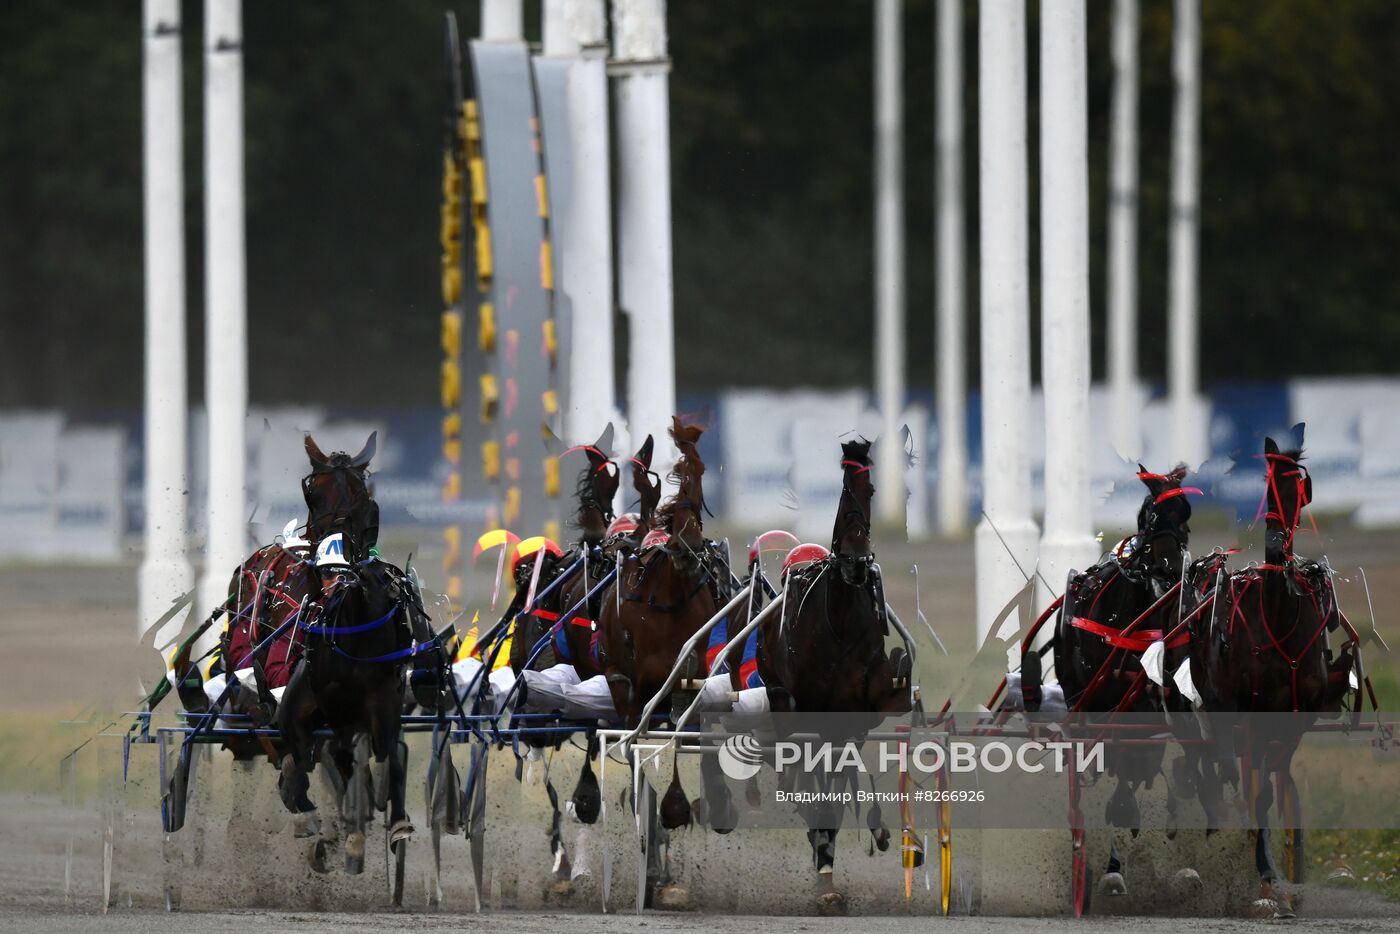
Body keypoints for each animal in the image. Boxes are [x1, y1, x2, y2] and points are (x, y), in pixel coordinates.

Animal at [1187, 431, 1360, 918]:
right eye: (1266, 485)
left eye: (1298, 488)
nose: (1275, 542)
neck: (1279, 619)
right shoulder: (1249, 716)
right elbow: (1252, 795)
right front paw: (1263, 884)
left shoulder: (1294, 719)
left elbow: (1268, 791)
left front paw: (1275, 881)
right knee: (1210, 775)